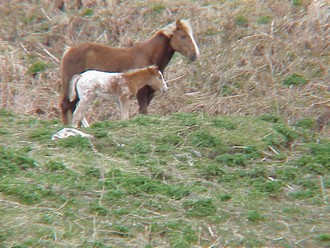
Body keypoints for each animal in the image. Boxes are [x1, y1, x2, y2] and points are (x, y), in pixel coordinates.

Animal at [60, 19, 199, 124]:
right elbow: (142, 111)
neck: (148, 56)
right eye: (183, 36)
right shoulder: (141, 93)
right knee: (66, 106)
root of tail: (68, 51)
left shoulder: (150, 94)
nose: (195, 54)